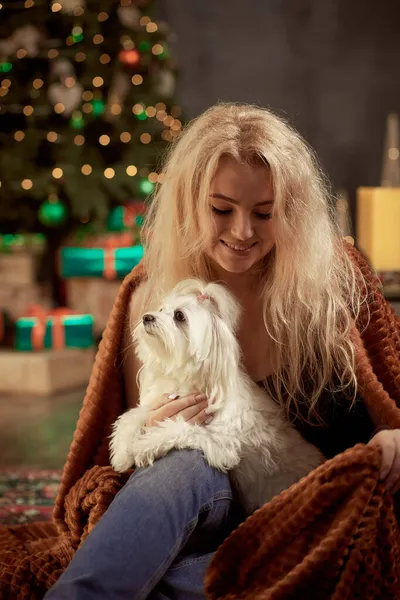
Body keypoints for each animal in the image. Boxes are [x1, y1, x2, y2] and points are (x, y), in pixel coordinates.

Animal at [110, 278, 324, 512]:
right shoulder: (159, 402)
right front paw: (122, 452)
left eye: (179, 316)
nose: (147, 317)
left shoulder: (223, 445)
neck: (187, 380)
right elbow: (133, 416)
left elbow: (183, 428)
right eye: (160, 309)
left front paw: (146, 444)